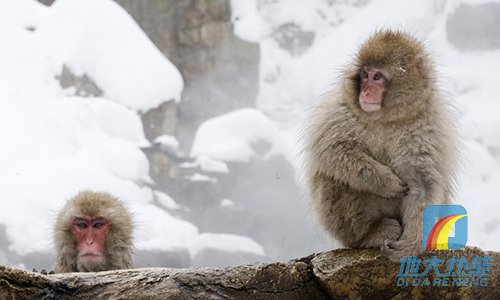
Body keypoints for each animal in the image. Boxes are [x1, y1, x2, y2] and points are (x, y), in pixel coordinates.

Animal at [304, 29, 458, 260]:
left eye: (378, 77)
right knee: (335, 178)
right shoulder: (339, 110)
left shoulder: (430, 127)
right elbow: (334, 150)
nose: (365, 93)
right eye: (364, 75)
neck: (386, 119)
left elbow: (423, 184)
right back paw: (371, 233)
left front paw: (409, 246)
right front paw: (386, 182)